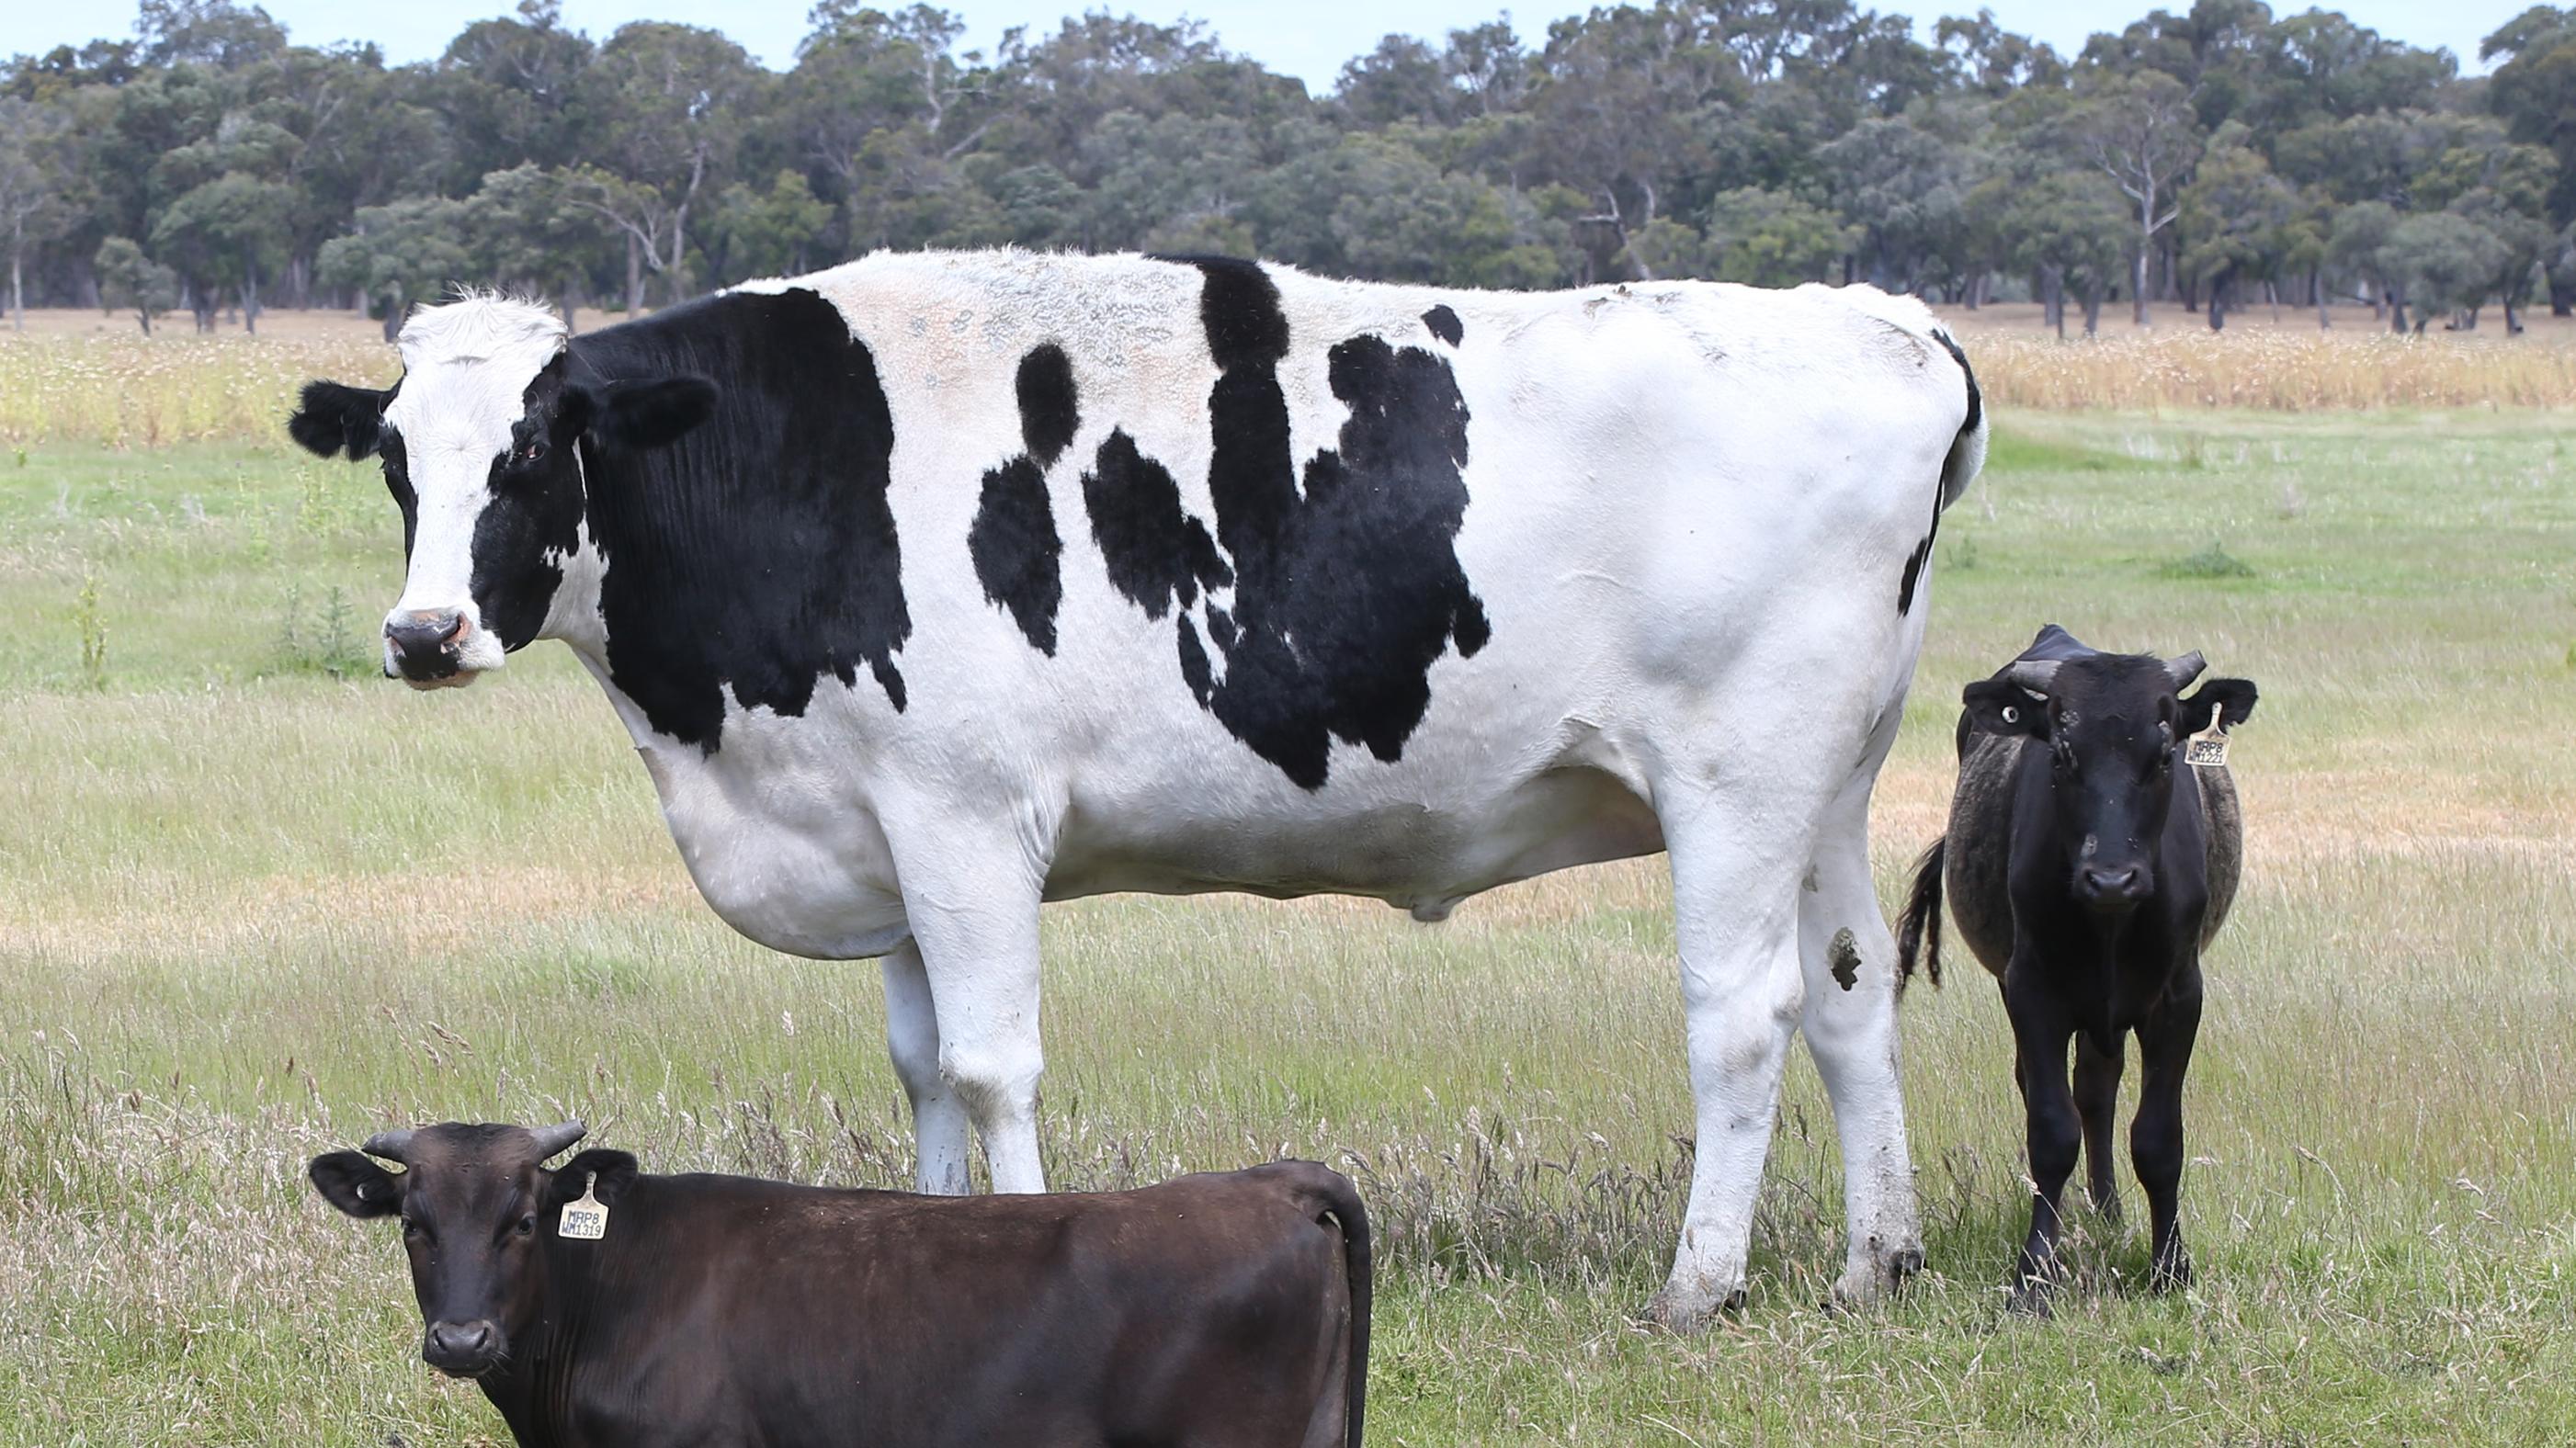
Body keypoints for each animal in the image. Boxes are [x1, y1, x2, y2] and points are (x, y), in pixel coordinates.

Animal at [287, 251, 1988, 1318]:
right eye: (397, 466)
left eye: (532, 452)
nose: (423, 634)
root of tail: (1879, 320)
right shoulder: (886, 833)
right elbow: (918, 1068)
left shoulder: (968, 817)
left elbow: (989, 1068)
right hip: (1829, 787)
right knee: (1848, 998)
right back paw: (1873, 1265)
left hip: (1731, 780)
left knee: (1741, 1014)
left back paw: (1697, 1285)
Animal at [1896, 620, 2256, 1308]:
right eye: (2062, 756)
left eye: (2165, 755)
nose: (2111, 877)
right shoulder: (2031, 990)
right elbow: (2051, 1129)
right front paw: (2035, 1271)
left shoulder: (2179, 996)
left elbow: (2158, 1138)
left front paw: (2170, 1265)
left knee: (2098, 1089)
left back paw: (2107, 1210)